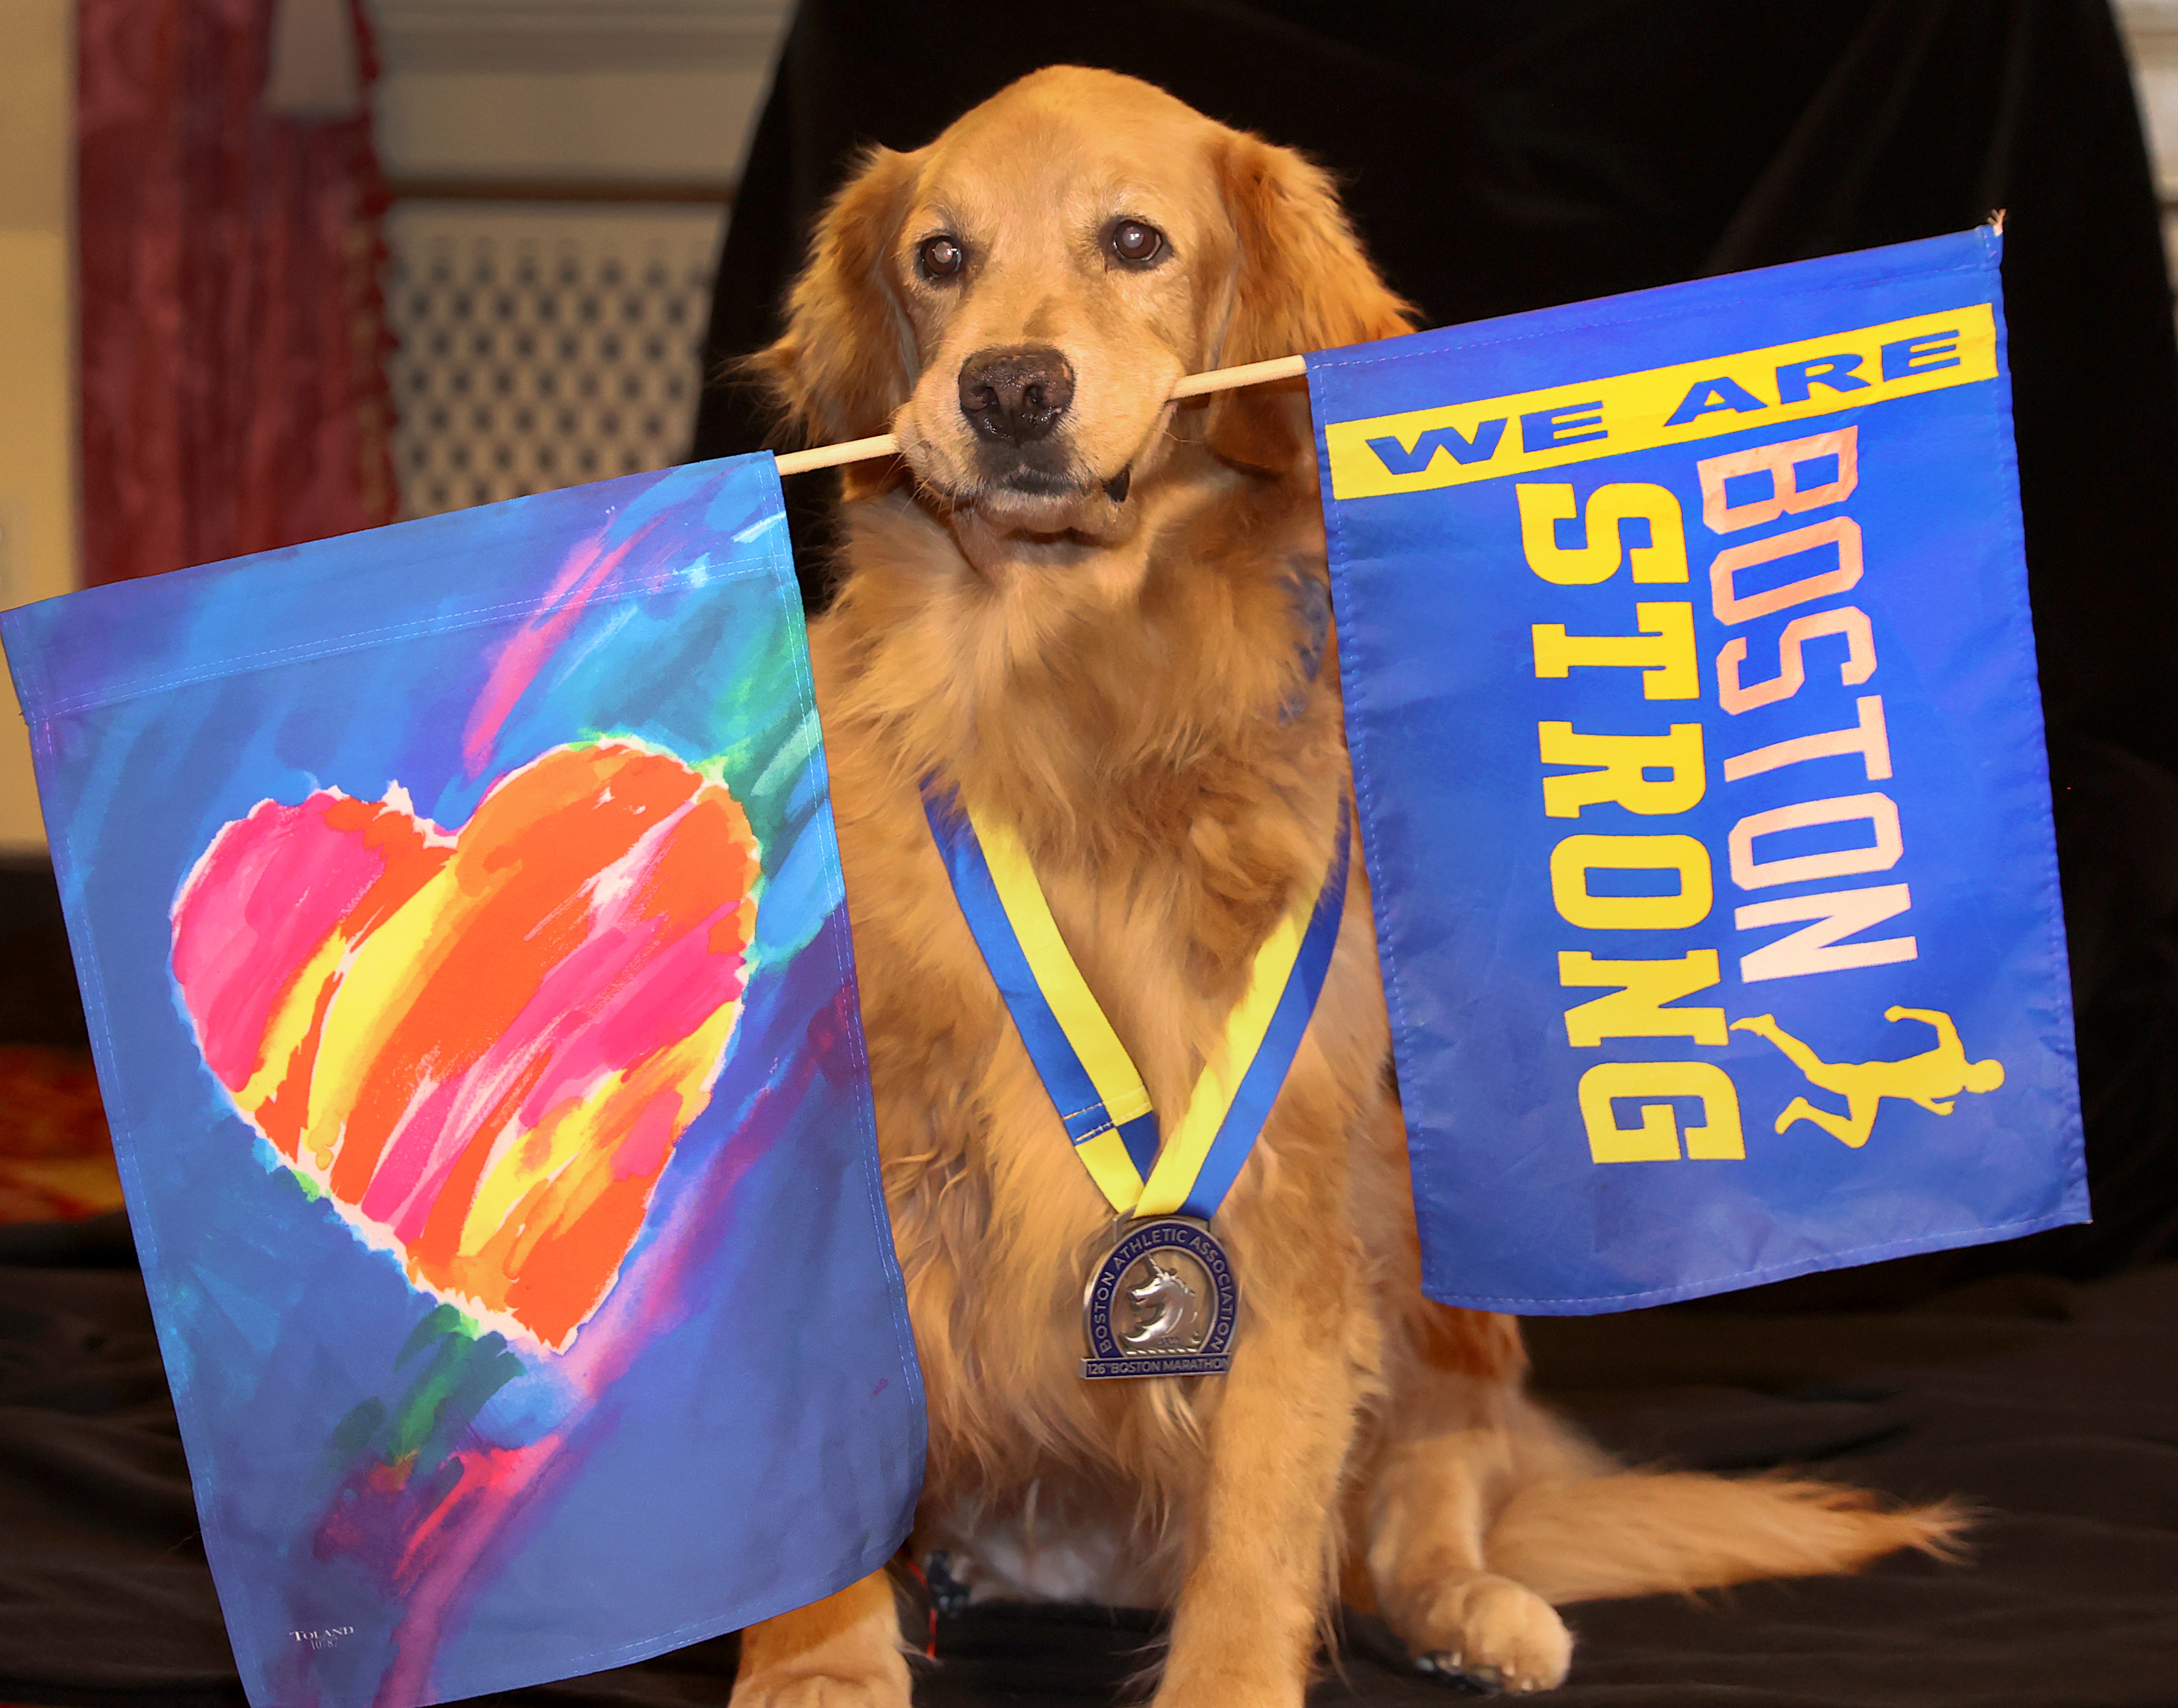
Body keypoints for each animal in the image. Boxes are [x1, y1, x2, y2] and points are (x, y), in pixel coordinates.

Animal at [731, 60, 1960, 1699]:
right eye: (940, 257)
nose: (1006, 390)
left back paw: (1474, 1607)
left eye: (1135, 243)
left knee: (1426, 1502)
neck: (1075, 705)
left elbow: (1263, 1527)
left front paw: (1235, 1672)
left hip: (1427, 1248)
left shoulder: (1289, 1194)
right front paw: (814, 1665)